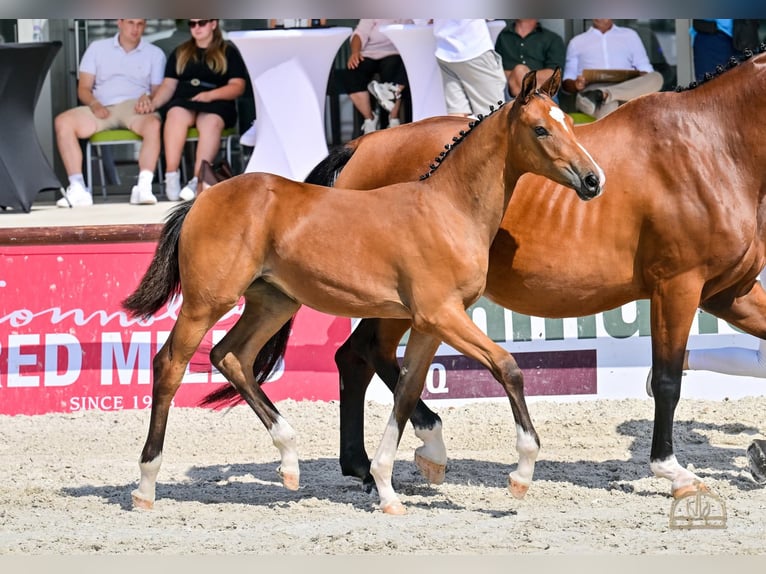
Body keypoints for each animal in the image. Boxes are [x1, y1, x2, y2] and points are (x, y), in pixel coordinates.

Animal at [122, 69, 603, 514]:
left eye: (569, 123)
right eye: (541, 129)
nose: (593, 179)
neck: (448, 209)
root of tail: (201, 200)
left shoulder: (429, 324)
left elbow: (407, 392)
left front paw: (387, 489)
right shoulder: (442, 315)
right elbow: (508, 368)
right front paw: (520, 475)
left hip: (274, 302)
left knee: (231, 356)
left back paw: (290, 461)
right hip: (206, 302)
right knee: (170, 365)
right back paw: (145, 485)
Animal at [305, 47, 766, 498]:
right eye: (542, 130)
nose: (593, 181)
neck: (710, 147)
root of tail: (360, 145)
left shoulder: (730, 293)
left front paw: (757, 455)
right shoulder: (678, 287)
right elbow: (668, 382)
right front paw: (673, 471)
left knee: (360, 357)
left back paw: (363, 465)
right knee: (370, 354)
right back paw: (412, 451)